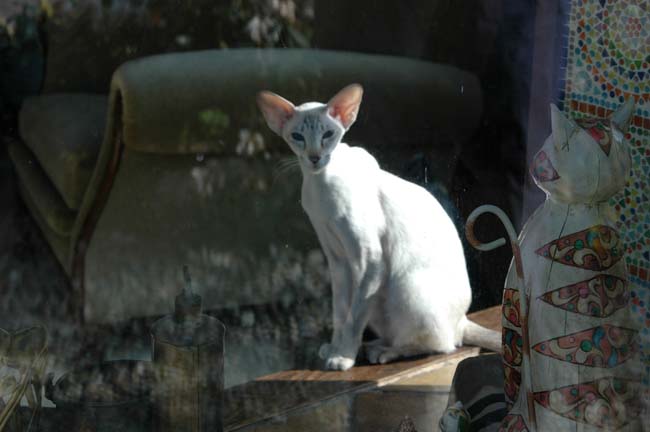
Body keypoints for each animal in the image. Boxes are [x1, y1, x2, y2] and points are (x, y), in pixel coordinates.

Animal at [257, 84, 500, 371]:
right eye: (297, 137)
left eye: (328, 135)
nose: (315, 158)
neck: (320, 188)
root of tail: (463, 319)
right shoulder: (337, 261)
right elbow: (341, 313)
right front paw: (335, 349)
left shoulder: (369, 259)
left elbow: (354, 317)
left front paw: (343, 357)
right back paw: (373, 345)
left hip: (405, 288)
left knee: (442, 345)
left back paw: (384, 352)